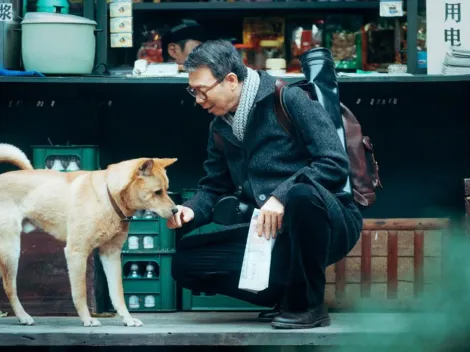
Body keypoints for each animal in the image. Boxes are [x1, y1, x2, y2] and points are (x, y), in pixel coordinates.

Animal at [0, 143, 178, 328]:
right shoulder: (76, 252)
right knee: (9, 287)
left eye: (166, 190)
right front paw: (87, 319)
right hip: (11, 251)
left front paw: (127, 319)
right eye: (157, 192)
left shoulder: (111, 254)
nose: (176, 211)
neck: (108, 196)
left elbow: (118, 293)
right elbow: (80, 293)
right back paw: (23, 316)